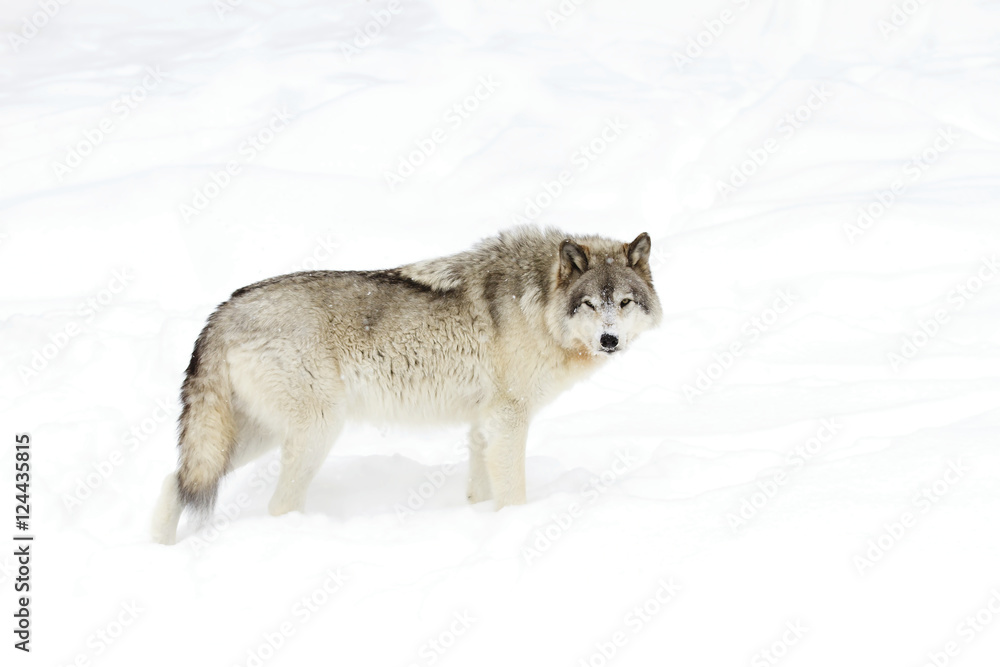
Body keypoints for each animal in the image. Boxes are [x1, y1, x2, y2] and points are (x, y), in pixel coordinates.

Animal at [152, 226, 661, 544]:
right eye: (590, 304)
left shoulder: (483, 424)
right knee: (275, 504)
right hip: (315, 431)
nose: (610, 339)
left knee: (174, 481)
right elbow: (513, 494)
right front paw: (516, 524)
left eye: (624, 302)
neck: (538, 307)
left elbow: (480, 491)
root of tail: (222, 312)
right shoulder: (509, 419)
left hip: (250, 437)